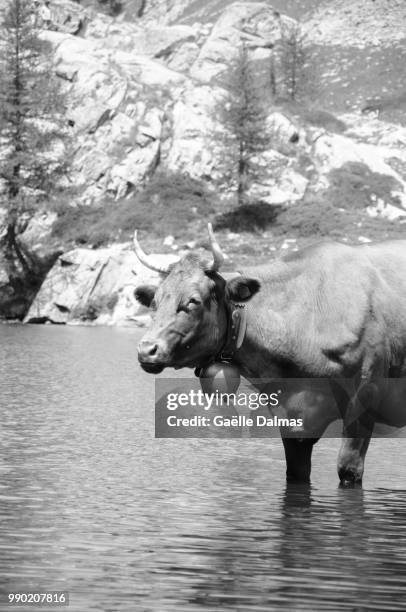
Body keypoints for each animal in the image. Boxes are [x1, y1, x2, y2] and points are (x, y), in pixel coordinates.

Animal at [133, 226, 406, 488]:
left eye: (193, 301)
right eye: (155, 301)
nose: (146, 349)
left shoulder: (365, 396)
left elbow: (348, 469)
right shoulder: (290, 415)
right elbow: (295, 471)